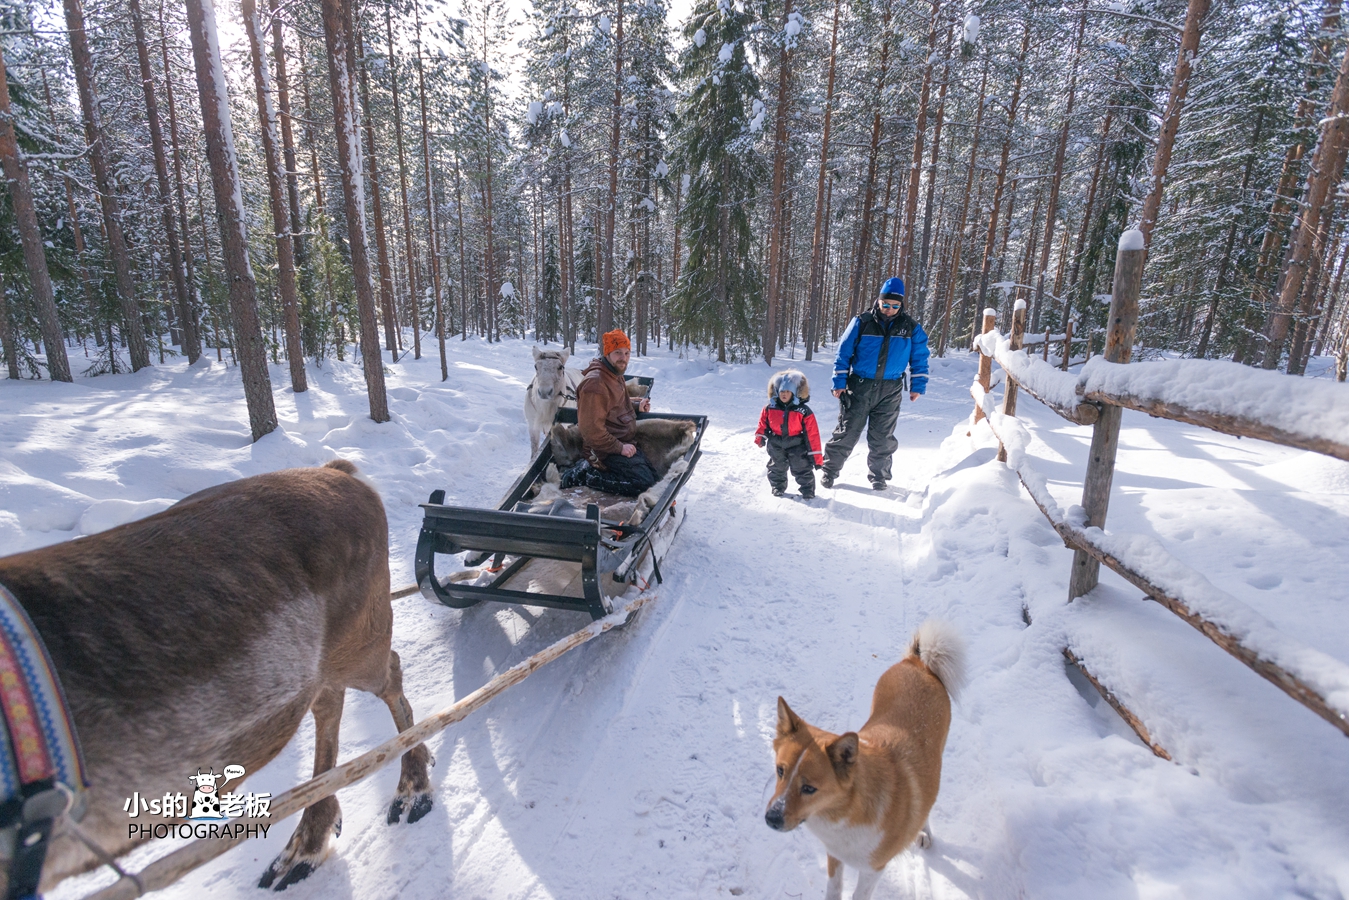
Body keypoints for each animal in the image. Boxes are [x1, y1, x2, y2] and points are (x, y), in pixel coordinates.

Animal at [766, 620, 965, 900]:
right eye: (780, 771)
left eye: (809, 788)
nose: (770, 819)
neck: (846, 810)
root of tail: (917, 662)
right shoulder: (834, 855)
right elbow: (834, 889)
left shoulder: (874, 869)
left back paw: (923, 831)